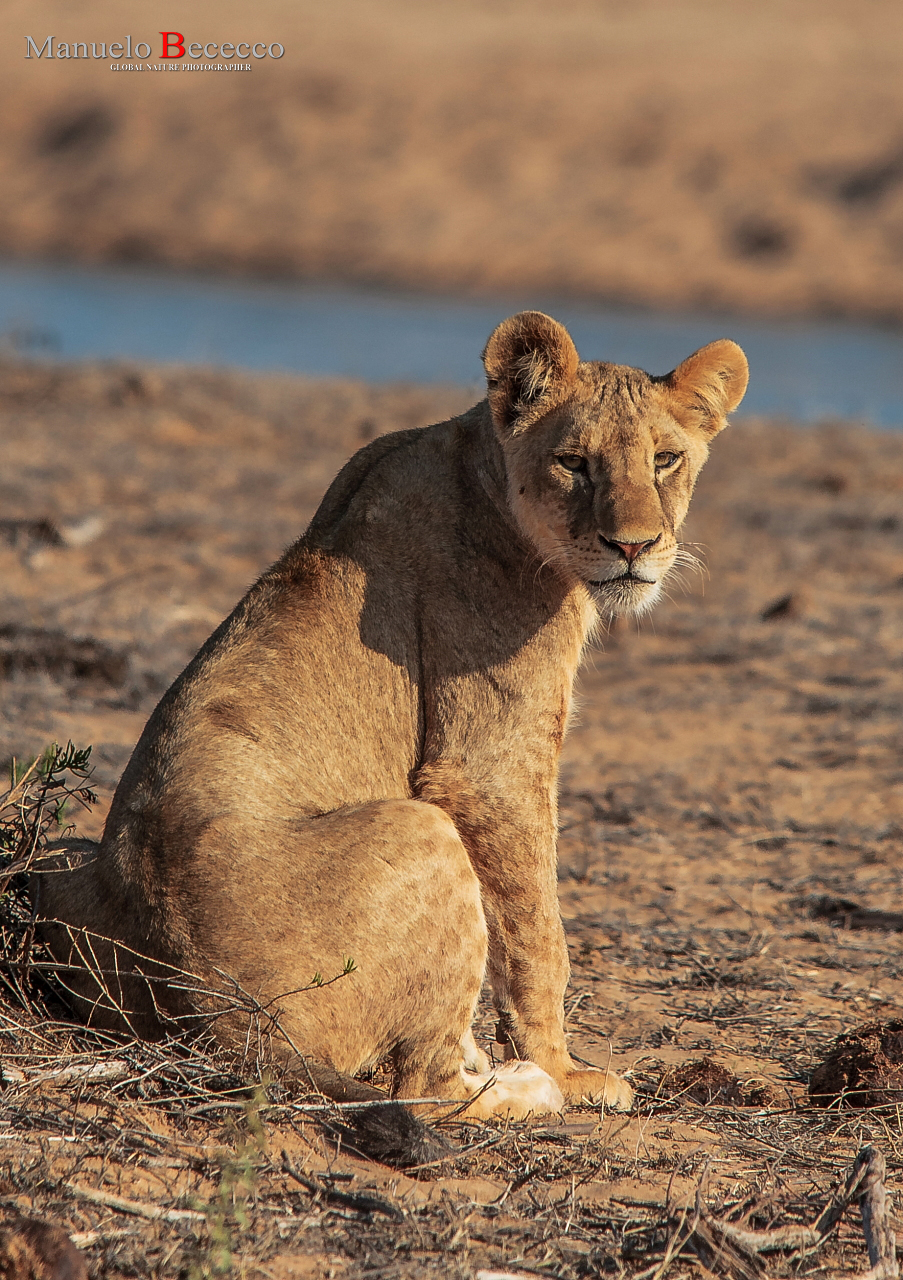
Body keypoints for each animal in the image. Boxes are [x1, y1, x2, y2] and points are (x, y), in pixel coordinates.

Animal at [37, 311, 747, 1165]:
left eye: (665, 460)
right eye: (572, 463)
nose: (634, 547)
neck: (481, 461)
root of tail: (216, 1014)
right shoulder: (487, 767)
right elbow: (539, 933)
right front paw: (567, 1071)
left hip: (61, 861)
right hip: (419, 827)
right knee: (422, 1087)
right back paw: (527, 1086)